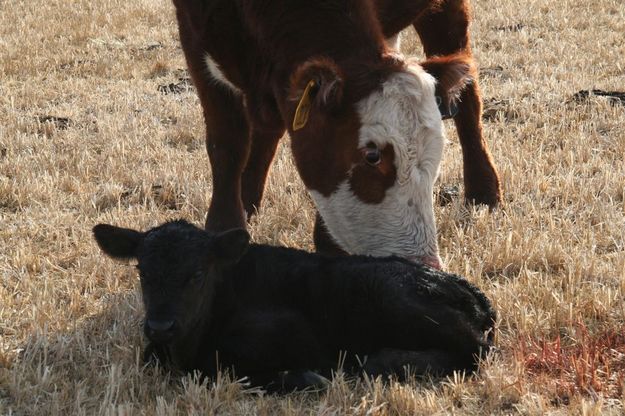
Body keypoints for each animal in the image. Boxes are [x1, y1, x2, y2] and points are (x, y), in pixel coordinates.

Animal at [169, 0, 498, 266]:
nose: (424, 263)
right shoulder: (196, 37)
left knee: (469, 97)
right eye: (372, 156)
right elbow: (227, 144)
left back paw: (484, 191)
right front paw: (225, 230)